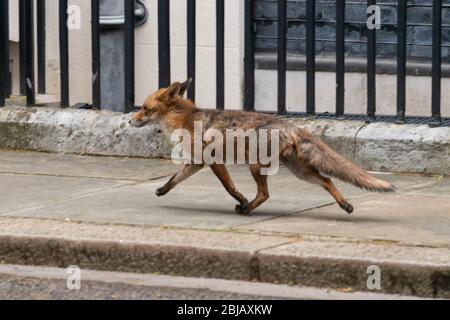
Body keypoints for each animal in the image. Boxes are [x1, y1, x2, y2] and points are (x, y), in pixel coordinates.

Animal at [129, 79, 394, 216]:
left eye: (144, 108)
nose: (130, 121)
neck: (185, 120)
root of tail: (290, 126)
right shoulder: (195, 163)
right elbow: (174, 180)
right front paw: (161, 191)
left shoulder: (213, 161)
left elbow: (229, 187)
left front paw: (241, 199)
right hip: (300, 171)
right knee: (327, 180)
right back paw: (345, 205)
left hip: (256, 166)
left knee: (265, 194)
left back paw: (246, 208)